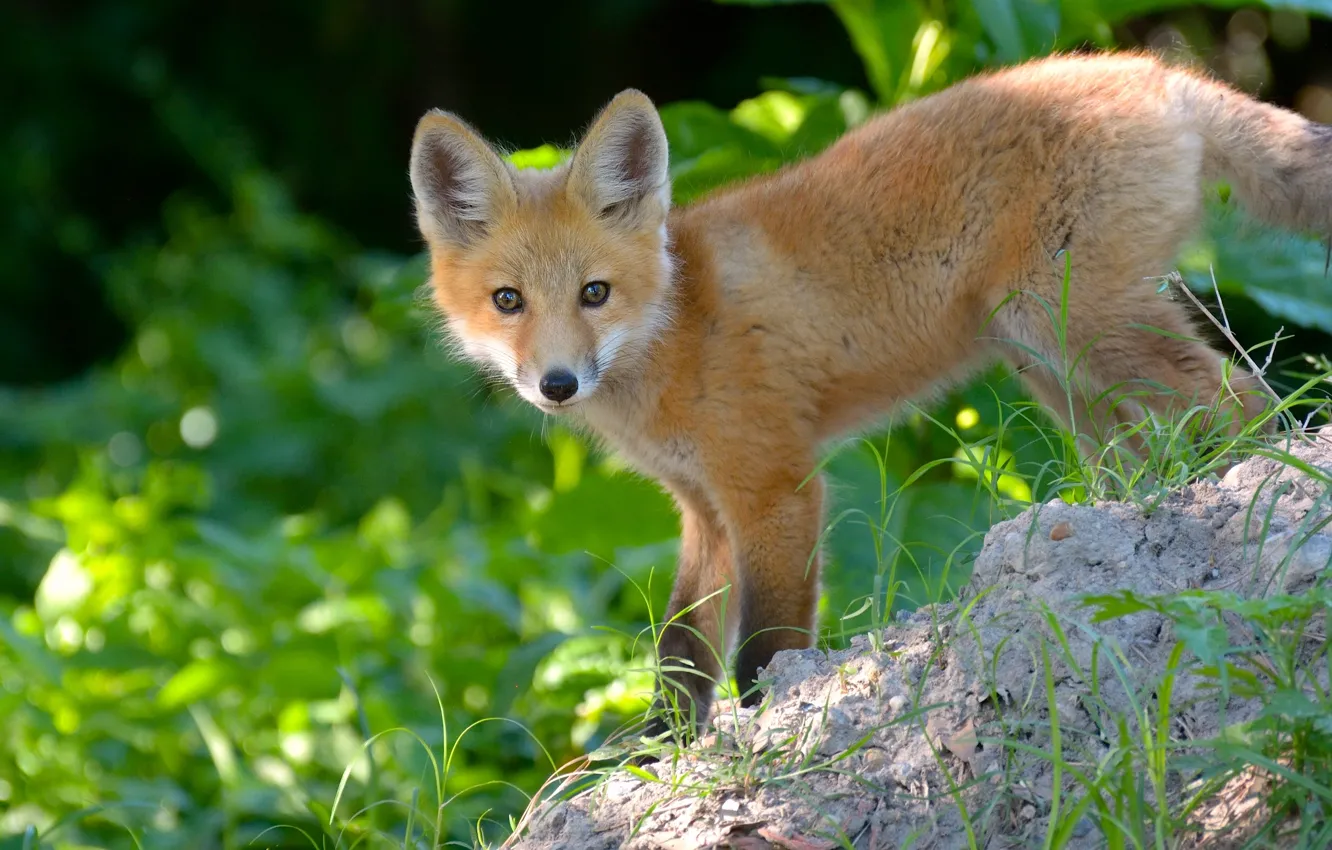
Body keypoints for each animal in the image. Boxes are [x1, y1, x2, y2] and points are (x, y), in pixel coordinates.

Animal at [404, 51, 1310, 740]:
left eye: (594, 293)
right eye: (508, 301)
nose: (557, 384)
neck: (676, 325)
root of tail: (1154, 69)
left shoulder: (777, 487)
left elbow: (763, 649)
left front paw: (770, 726)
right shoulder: (703, 510)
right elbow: (680, 654)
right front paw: (658, 753)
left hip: (1088, 329)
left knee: (1248, 400)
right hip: (1053, 364)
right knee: (1149, 453)